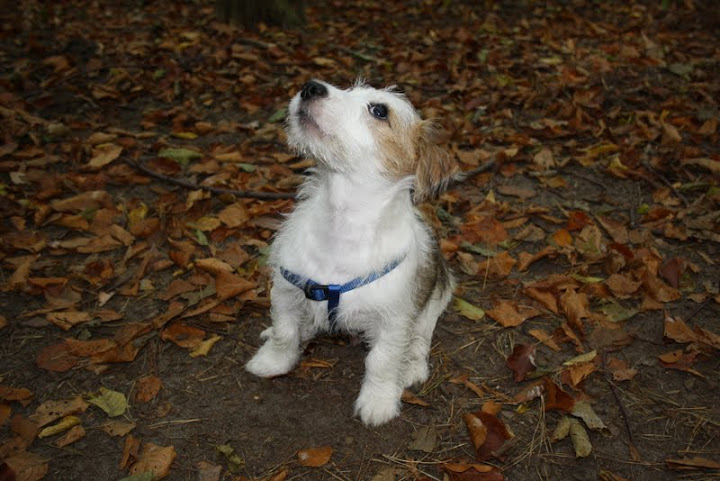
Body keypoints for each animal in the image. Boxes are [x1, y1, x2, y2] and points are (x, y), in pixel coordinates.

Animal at [245, 79, 457, 426]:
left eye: (379, 110)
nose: (311, 87)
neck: (342, 220)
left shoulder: (394, 319)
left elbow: (383, 361)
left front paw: (378, 401)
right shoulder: (286, 291)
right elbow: (284, 332)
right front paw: (272, 362)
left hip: (436, 298)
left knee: (419, 339)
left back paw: (412, 366)